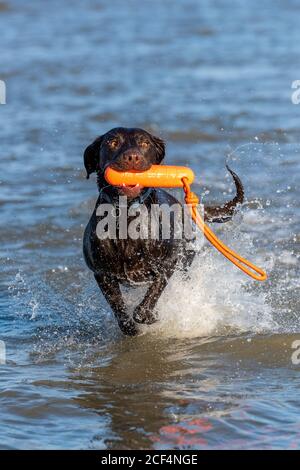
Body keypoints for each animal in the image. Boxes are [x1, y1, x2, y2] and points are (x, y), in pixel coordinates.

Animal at [82, 126, 244, 336]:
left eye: (144, 143)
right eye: (113, 142)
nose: (132, 157)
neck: (128, 217)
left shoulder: (169, 262)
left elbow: (148, 301)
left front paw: (152, 316)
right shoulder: (101, 273)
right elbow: (120, 312)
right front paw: (132, 327)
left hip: (185, 262)